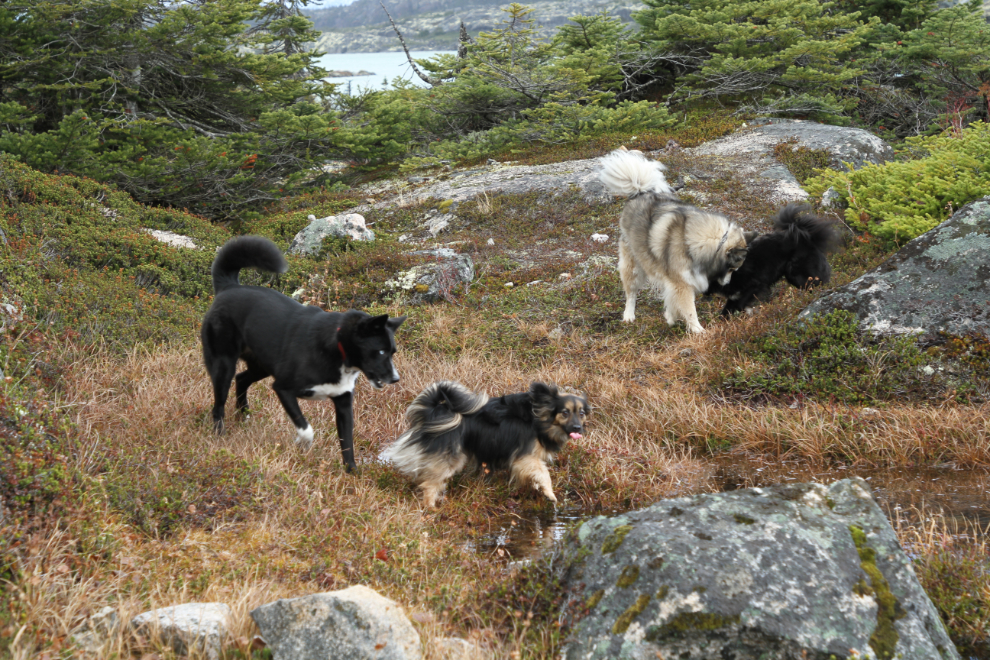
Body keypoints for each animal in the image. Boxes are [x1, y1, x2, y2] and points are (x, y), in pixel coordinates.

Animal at [202, 235, 406, 472]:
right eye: (380, 351)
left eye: (393, 352)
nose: (395, 379)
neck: (338, 347)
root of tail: (228, 286)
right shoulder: (283, 389)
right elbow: (306, 428)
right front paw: (302, 444)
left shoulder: (343, 402)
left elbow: (347, 442)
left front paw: (352, 473)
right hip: (223, 364)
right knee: (219, 404)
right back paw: (220, 435)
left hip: (262, 365)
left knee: (242, 378)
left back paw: (243, 415)